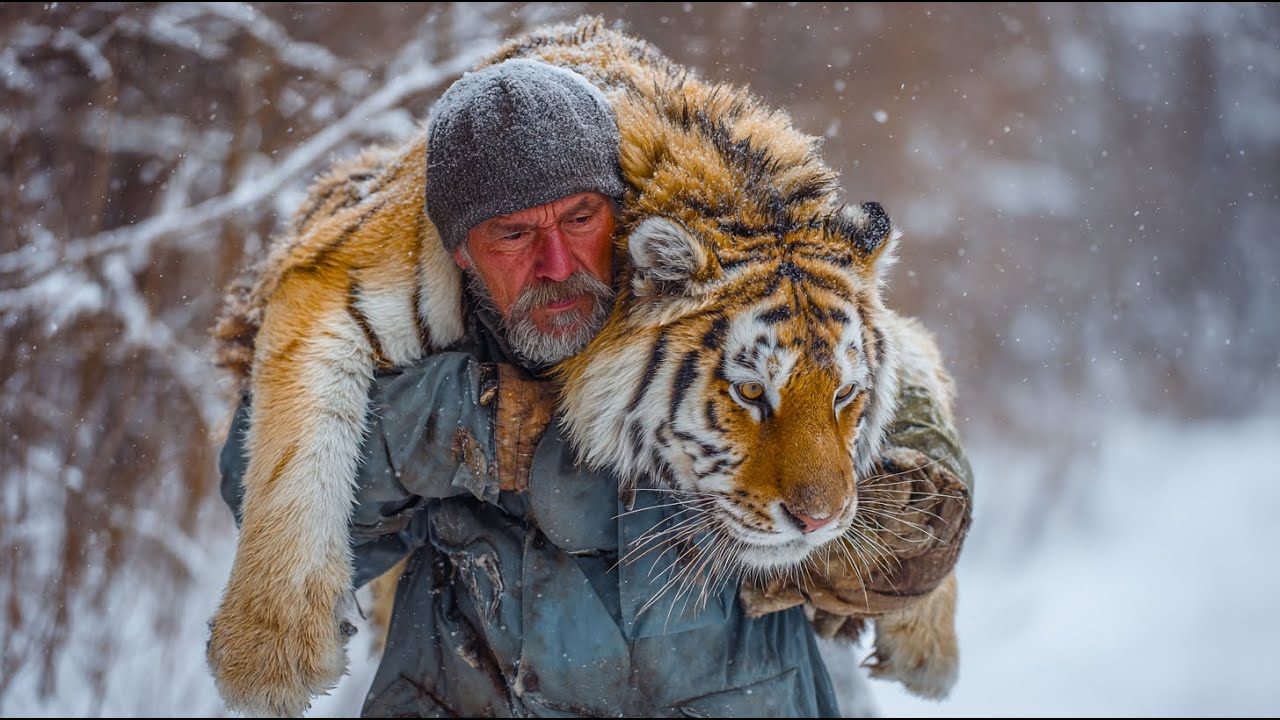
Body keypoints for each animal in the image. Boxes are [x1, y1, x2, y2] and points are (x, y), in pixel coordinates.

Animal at [207, 16, 970, 718]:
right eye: (752, 392)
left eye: (844, 395)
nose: (820, 521)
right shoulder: (333, 278)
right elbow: (294, 450)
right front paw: (266, 655)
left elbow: (920, 361)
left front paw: (928, 633)